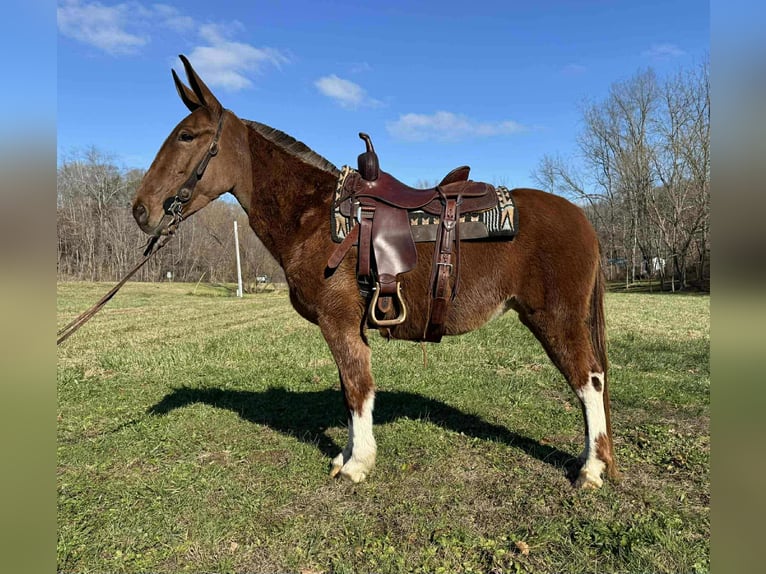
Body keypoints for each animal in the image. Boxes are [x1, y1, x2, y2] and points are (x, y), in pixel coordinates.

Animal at [132, 55, 617, 489]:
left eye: (186, 135)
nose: (141, 210)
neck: (315, 216)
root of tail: (582, 218)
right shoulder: (349, 326)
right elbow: (351, 390)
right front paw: (346, 455)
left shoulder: (339, 322)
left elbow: (356, 388)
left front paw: (357, 465)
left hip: (554, 318)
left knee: (589, 380)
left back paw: (591, 468)